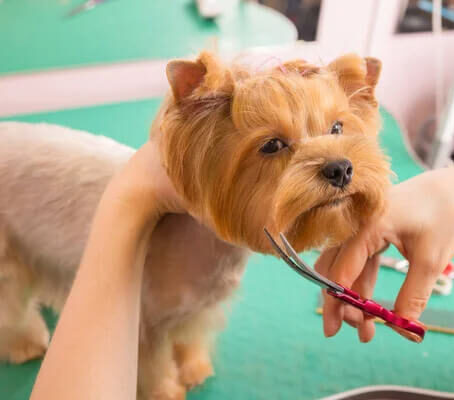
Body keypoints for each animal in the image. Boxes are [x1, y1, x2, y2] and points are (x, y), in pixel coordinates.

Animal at [0, 51, 390, 398]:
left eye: (337, 127)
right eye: (272, 145)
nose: (341, 168)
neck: (204, 243)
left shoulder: (198, 308)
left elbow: (189, 339)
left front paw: (192, 369)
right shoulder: (146, 325)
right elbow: (152, 365)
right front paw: (166, 392)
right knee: (12, 302)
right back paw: (25, 342)